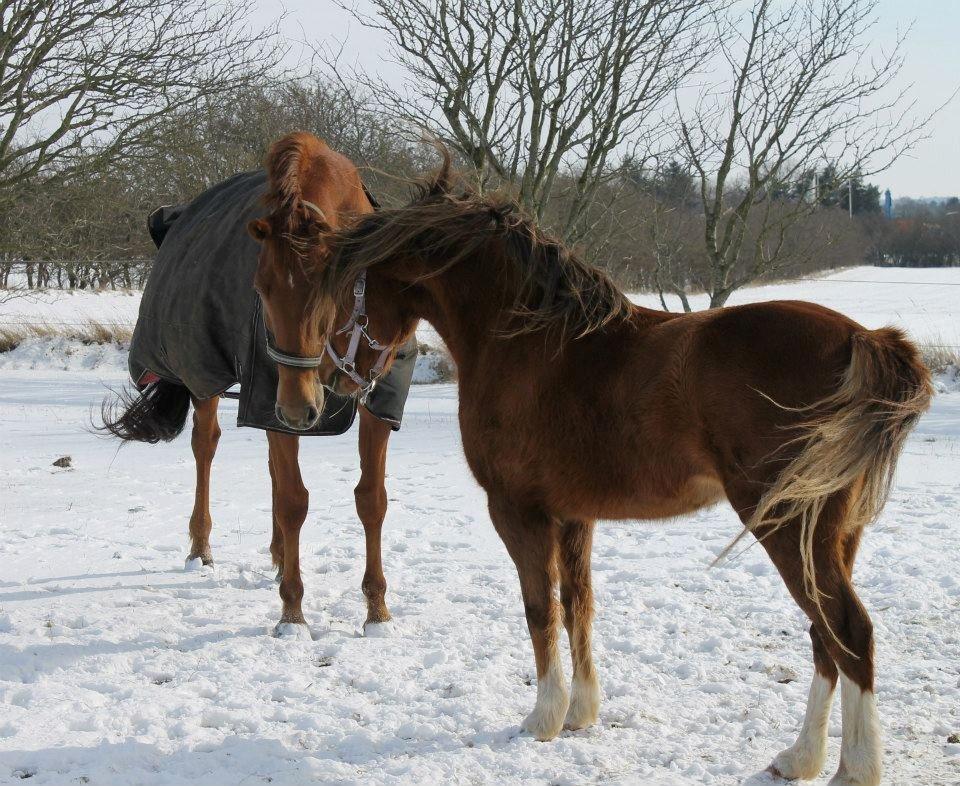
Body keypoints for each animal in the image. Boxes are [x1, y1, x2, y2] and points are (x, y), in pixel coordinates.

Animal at [258, 161, 932, 784]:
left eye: (344, 292)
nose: (330, 384)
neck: (526, 342)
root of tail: (864, 339)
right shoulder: (574, 515)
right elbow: (578, 604)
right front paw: (582, 712)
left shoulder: (518, 510)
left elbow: (539, 608)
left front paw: (543, 717)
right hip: (831, 534)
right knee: (825, 638)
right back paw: (801, 757)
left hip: (790, 528)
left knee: (849, 633)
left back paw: (855, 767)